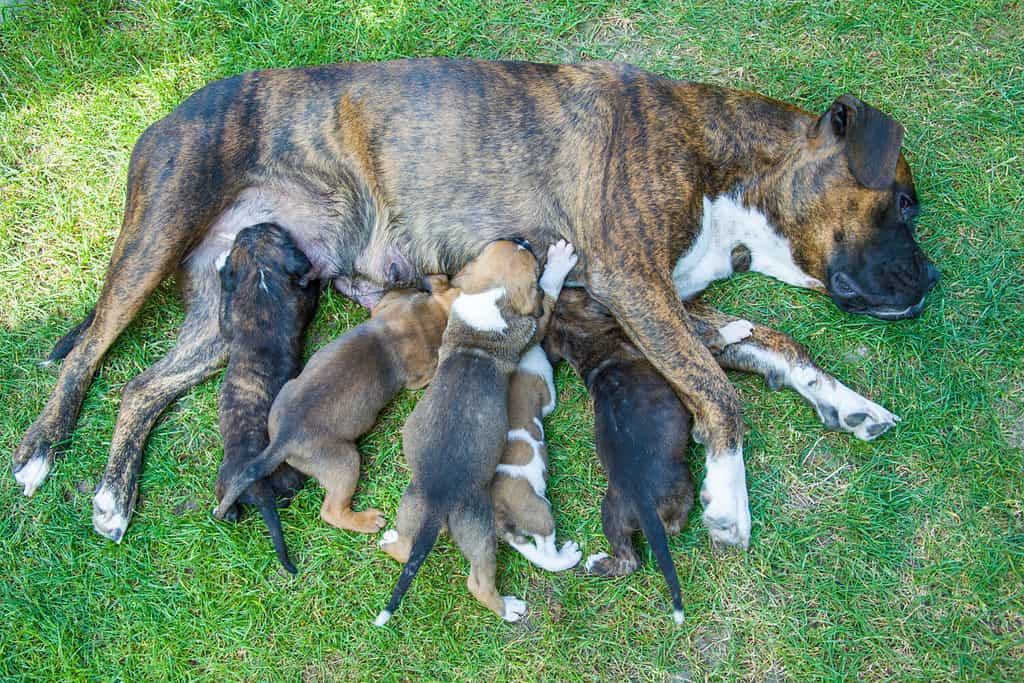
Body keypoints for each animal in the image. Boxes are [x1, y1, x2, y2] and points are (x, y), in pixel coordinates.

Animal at [211, 224, 315, 573]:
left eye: (270, 232)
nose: (250, 227)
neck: (261, 276)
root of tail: (257, 489)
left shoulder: (229, 321)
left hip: (227, 481)